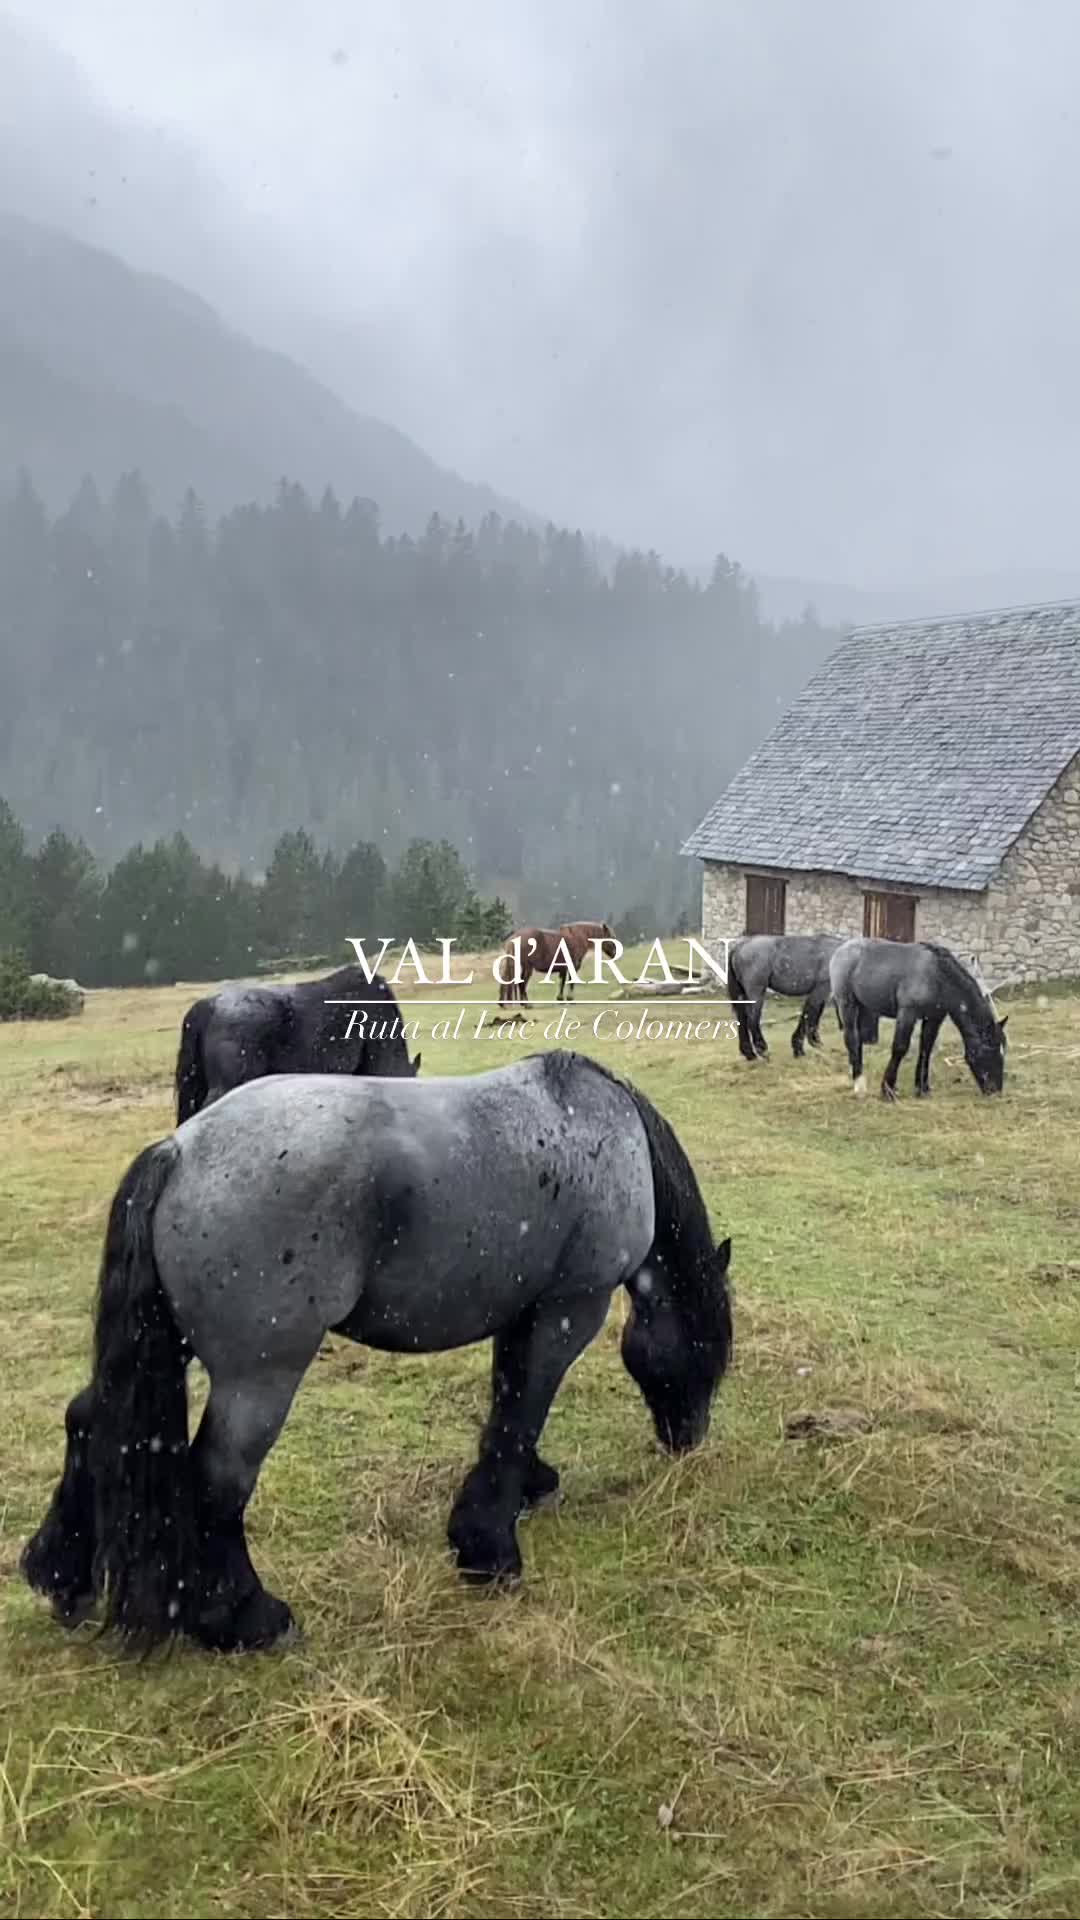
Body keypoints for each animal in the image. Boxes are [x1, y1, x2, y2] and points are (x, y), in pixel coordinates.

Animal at [23, 1052, 730, 1651]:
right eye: (705, 1346)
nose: (688, 1438)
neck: (603, 1128)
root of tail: (180, 1151)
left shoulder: (522, 1311)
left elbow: (508, 1406)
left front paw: (525, 1491)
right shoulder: (569, 1308)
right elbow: (523, 1412)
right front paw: (489, 1551)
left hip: (171, 1346)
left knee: (90, 1419)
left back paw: (63, 1579)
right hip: (261, 1376)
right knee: (219, 1479)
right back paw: (247, 1620)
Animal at [722, 933, 849, 1067]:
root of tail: (740, 946)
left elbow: (811, 1014)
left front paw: (807, 1044)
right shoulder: (821, 989)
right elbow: (809, 1015)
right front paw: (804, 1046)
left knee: (742, 1019)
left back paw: (749, 1054)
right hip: (756, 992)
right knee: (752, 1020)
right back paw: (763, 1050)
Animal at [826, 936, 1006, 1105]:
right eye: (990, 1050)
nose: (995, 1090)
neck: (937, 975)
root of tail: (842, 948)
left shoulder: (933, 1019)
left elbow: (926, 1049)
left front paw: (922, 1089)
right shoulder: (908, 1014)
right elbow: (900, 1048)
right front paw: (887, 1090)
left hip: (863, 1006)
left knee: (858, 1042)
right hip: (847, 1003)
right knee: (851, 1038)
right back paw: (859, 1085)